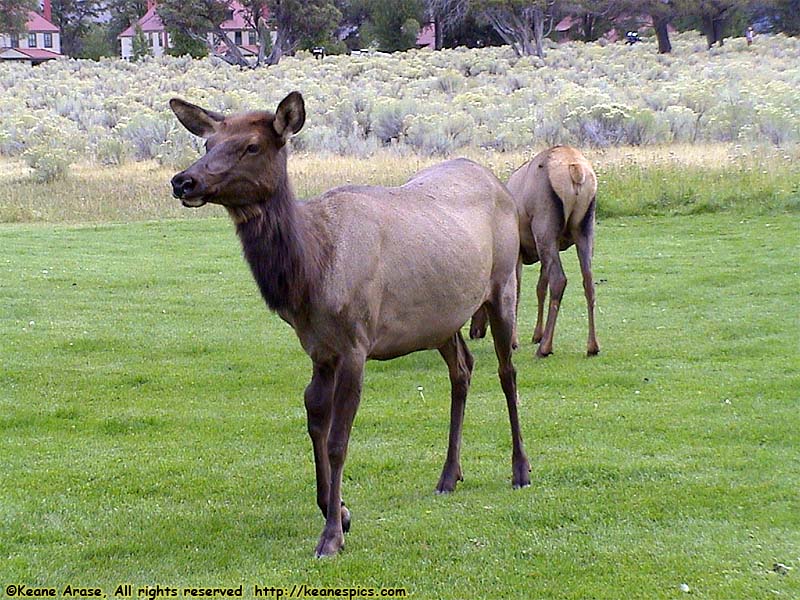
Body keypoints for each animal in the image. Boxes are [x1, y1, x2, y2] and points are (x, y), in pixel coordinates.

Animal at [169, 90, 532, 556]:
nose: (184, 182)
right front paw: (337, 509)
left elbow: (338, 441)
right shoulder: (319, 349)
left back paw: (520, 469)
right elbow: (314, 424)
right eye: (207, 144)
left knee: (507, 372)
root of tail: (498, 183)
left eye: (252, 146)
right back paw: (449, 475)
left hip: (503, 283)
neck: (311, 272)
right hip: (441, 318)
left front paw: (331, 536)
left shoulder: (356, 343)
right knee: (462, 369)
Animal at [472, 146, 596, 356]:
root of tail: (577, 171)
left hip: (544, 228)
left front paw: (514, 341)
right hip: (583, 230)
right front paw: (536, 334)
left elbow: (517, 292)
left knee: (559, 280)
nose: (474, 332)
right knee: (588, 281)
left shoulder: (518, 252)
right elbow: (540, 289)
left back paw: (545, 348)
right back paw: (592, 346)